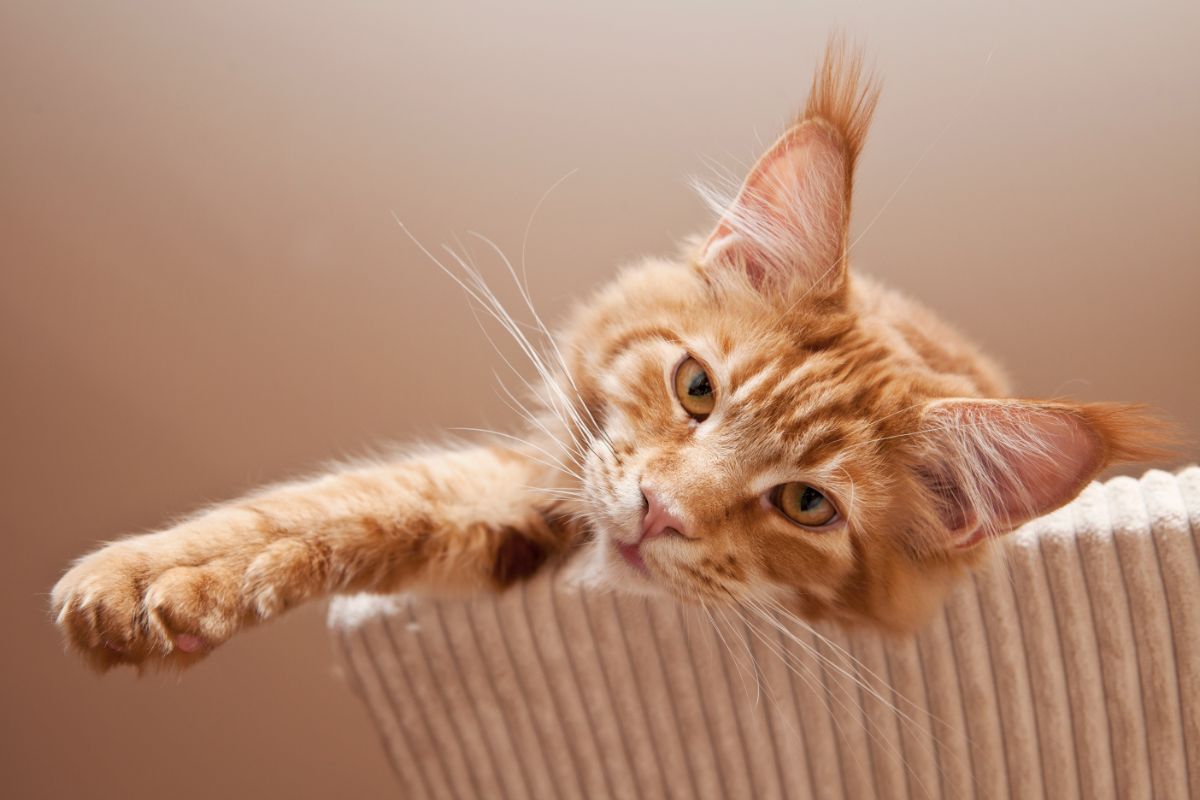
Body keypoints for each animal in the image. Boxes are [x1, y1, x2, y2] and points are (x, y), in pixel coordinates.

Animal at [51, 42, 1166, 671]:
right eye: (697, 388)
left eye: (807, 504)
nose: (660, 511)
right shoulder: (532, 487)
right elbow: (331, 508)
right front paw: (151, 582)